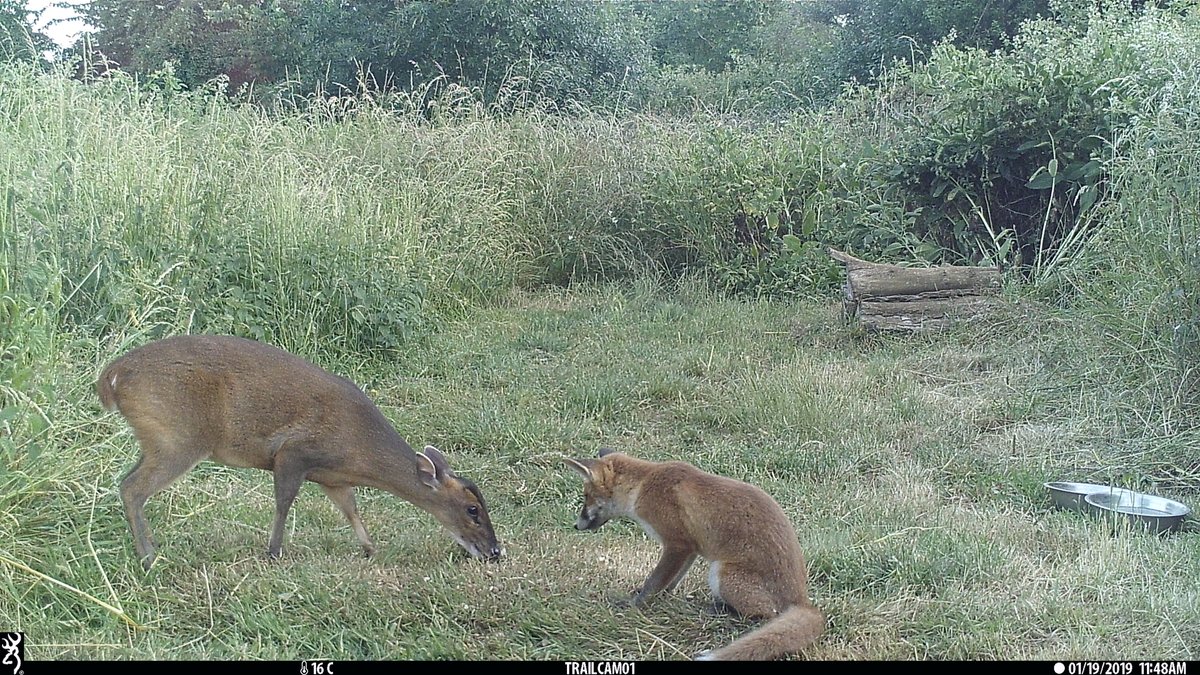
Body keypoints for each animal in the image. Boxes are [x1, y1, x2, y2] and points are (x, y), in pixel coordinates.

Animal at [564, 448, 824, 661]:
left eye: (586, 496)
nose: (576, 525)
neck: (643, 485)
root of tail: (803, 600)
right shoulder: (690, 548)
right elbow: (670, 582)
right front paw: (661, 599)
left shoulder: (677, 544)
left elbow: (654, 582)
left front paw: (634, 606)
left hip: (722, 573)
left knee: (767, 615)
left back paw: (722, 611)